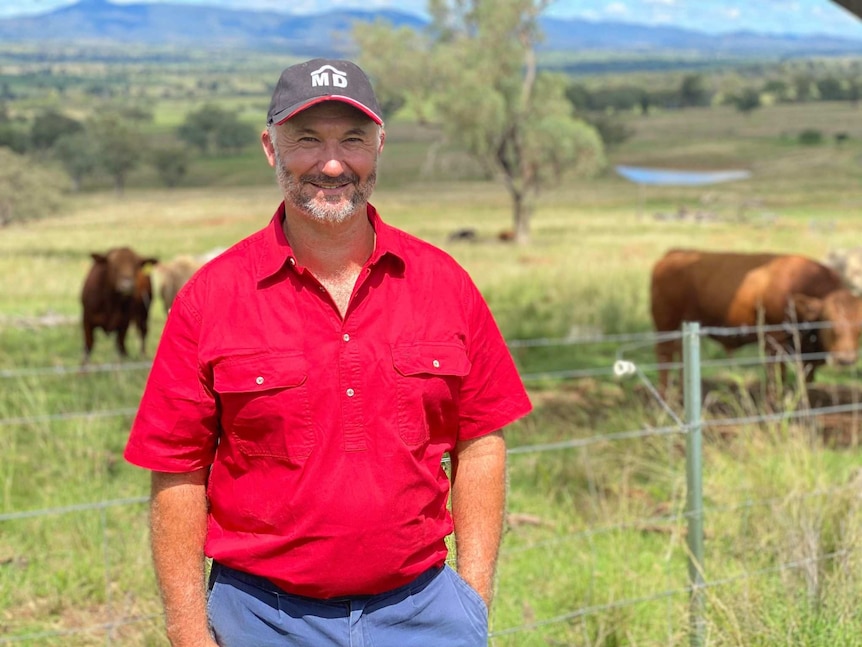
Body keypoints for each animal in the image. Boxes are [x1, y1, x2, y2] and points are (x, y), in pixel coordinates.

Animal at [652, 249, 862, 394]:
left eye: (860, 326)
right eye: (828, 320)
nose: (846, 359)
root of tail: (675, 254)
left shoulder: (807, 356)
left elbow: (805, 386)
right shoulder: (773, 342)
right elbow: (775, 381)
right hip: (665, 325)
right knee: (664, 359)